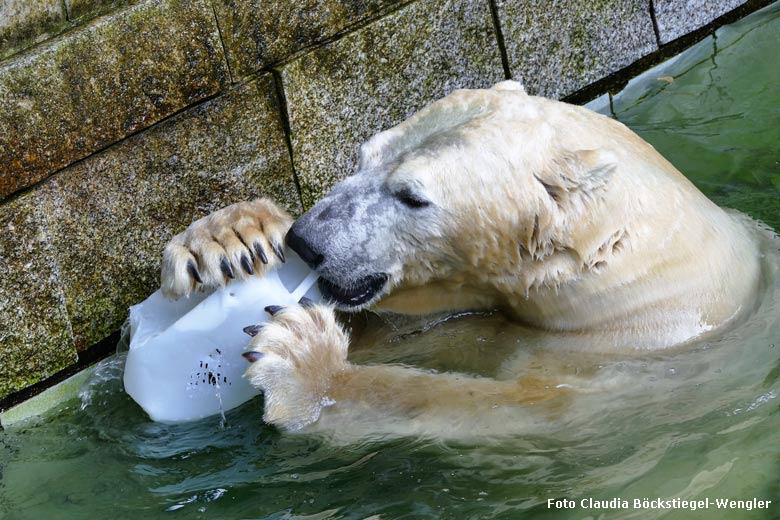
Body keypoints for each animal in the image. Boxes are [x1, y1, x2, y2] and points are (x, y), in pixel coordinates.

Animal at [158, 81, 760, 438]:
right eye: (364, 154)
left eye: (412, 196)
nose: (306, 241)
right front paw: (232, 237)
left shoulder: (622, 354)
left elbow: (514, 407)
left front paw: (307, 364)